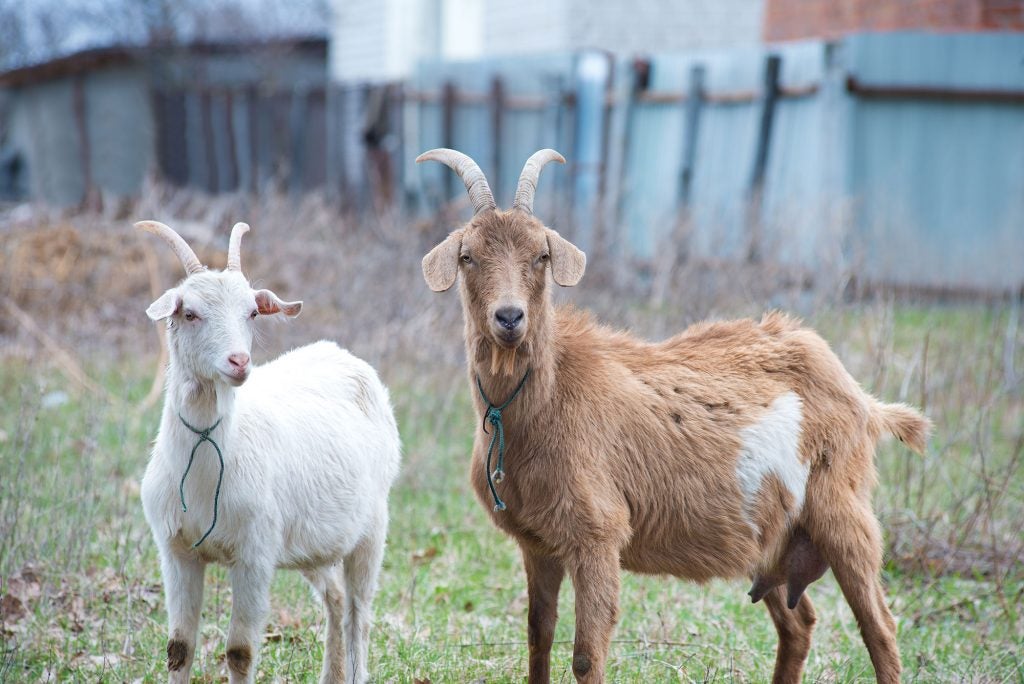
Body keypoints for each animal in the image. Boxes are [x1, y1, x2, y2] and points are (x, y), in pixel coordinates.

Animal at [138, 220, 401, 684]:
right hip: (313, 541)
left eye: (253, 312)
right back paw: (330, 675)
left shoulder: (255, 555)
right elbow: (179, 648)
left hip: (372, 527)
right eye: (189, 313)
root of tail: (341, 353)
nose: (239, 361)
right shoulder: (176, 551)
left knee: (359, 613)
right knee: (335, 598)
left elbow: (240, 651)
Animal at [413, 149, 929, 684]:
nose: (510, 318)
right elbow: (539, 638)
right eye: (468, 256)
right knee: (799, 622)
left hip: (843, 510)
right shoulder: (538, 544)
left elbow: (586, 654)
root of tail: (861, 397)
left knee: (879, 626)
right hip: (775, 540)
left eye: (542, 255)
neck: (546, 400)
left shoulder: (598, 535)